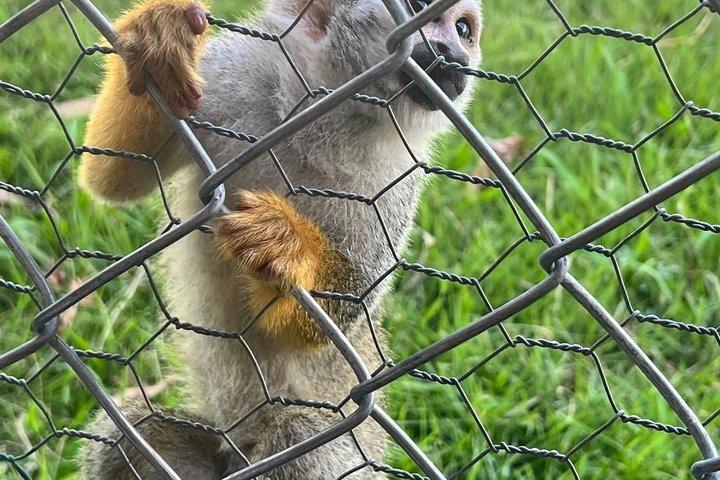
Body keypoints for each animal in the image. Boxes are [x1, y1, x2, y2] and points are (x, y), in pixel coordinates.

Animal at [77, 0, 482, 477]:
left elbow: (343, 311)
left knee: (301, 436)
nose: (457, 53)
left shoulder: (400, 180)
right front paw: (160, 40)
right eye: (422, 11)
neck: (327, 120)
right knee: (127, 435)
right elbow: (113, 178)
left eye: (463, 30)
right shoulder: (230, 73)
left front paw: (290, 249)